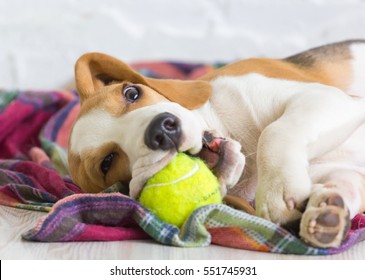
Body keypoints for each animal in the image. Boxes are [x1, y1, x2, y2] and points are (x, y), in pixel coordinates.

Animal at [67, 39, 364, 247]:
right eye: (107, 163)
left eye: (131, 93)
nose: (161, 129)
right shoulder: (344, 171)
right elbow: (343, 184)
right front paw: (326, 213)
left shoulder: (329, 97)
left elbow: (275, 131)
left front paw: (277, 190)